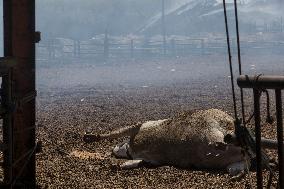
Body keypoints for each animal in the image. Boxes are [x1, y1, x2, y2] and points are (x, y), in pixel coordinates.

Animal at [83, 109, 250, 176]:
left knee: (220, 141)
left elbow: (116, 132)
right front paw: (120, 164)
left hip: (215, 128)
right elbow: (140, 162)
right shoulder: (150, 159)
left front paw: (92, 136)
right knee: (236, 165)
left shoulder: (141, 125)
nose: (113, 150)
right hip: (232, 160)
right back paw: (238, 172)